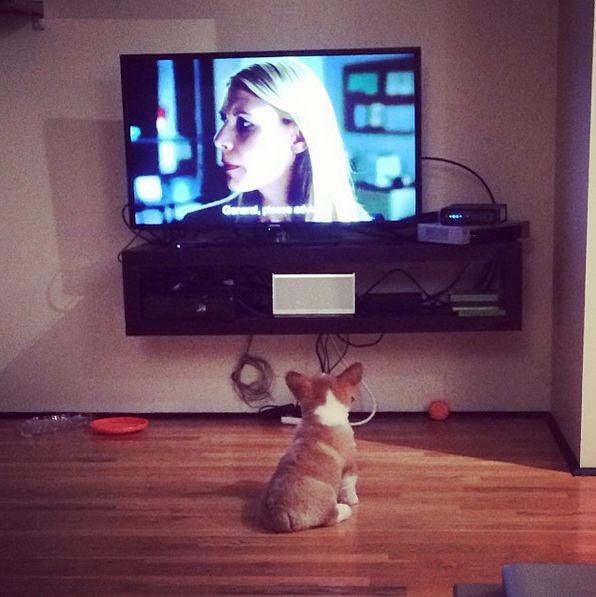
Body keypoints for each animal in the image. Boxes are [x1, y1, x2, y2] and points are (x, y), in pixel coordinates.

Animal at [260, 360, 364, 532]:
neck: (324, 407)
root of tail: (280, 514)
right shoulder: (350, 465)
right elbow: (349, 486)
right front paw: (353, 500)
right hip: (327, 505)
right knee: (331, 517)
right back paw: (344, 509)